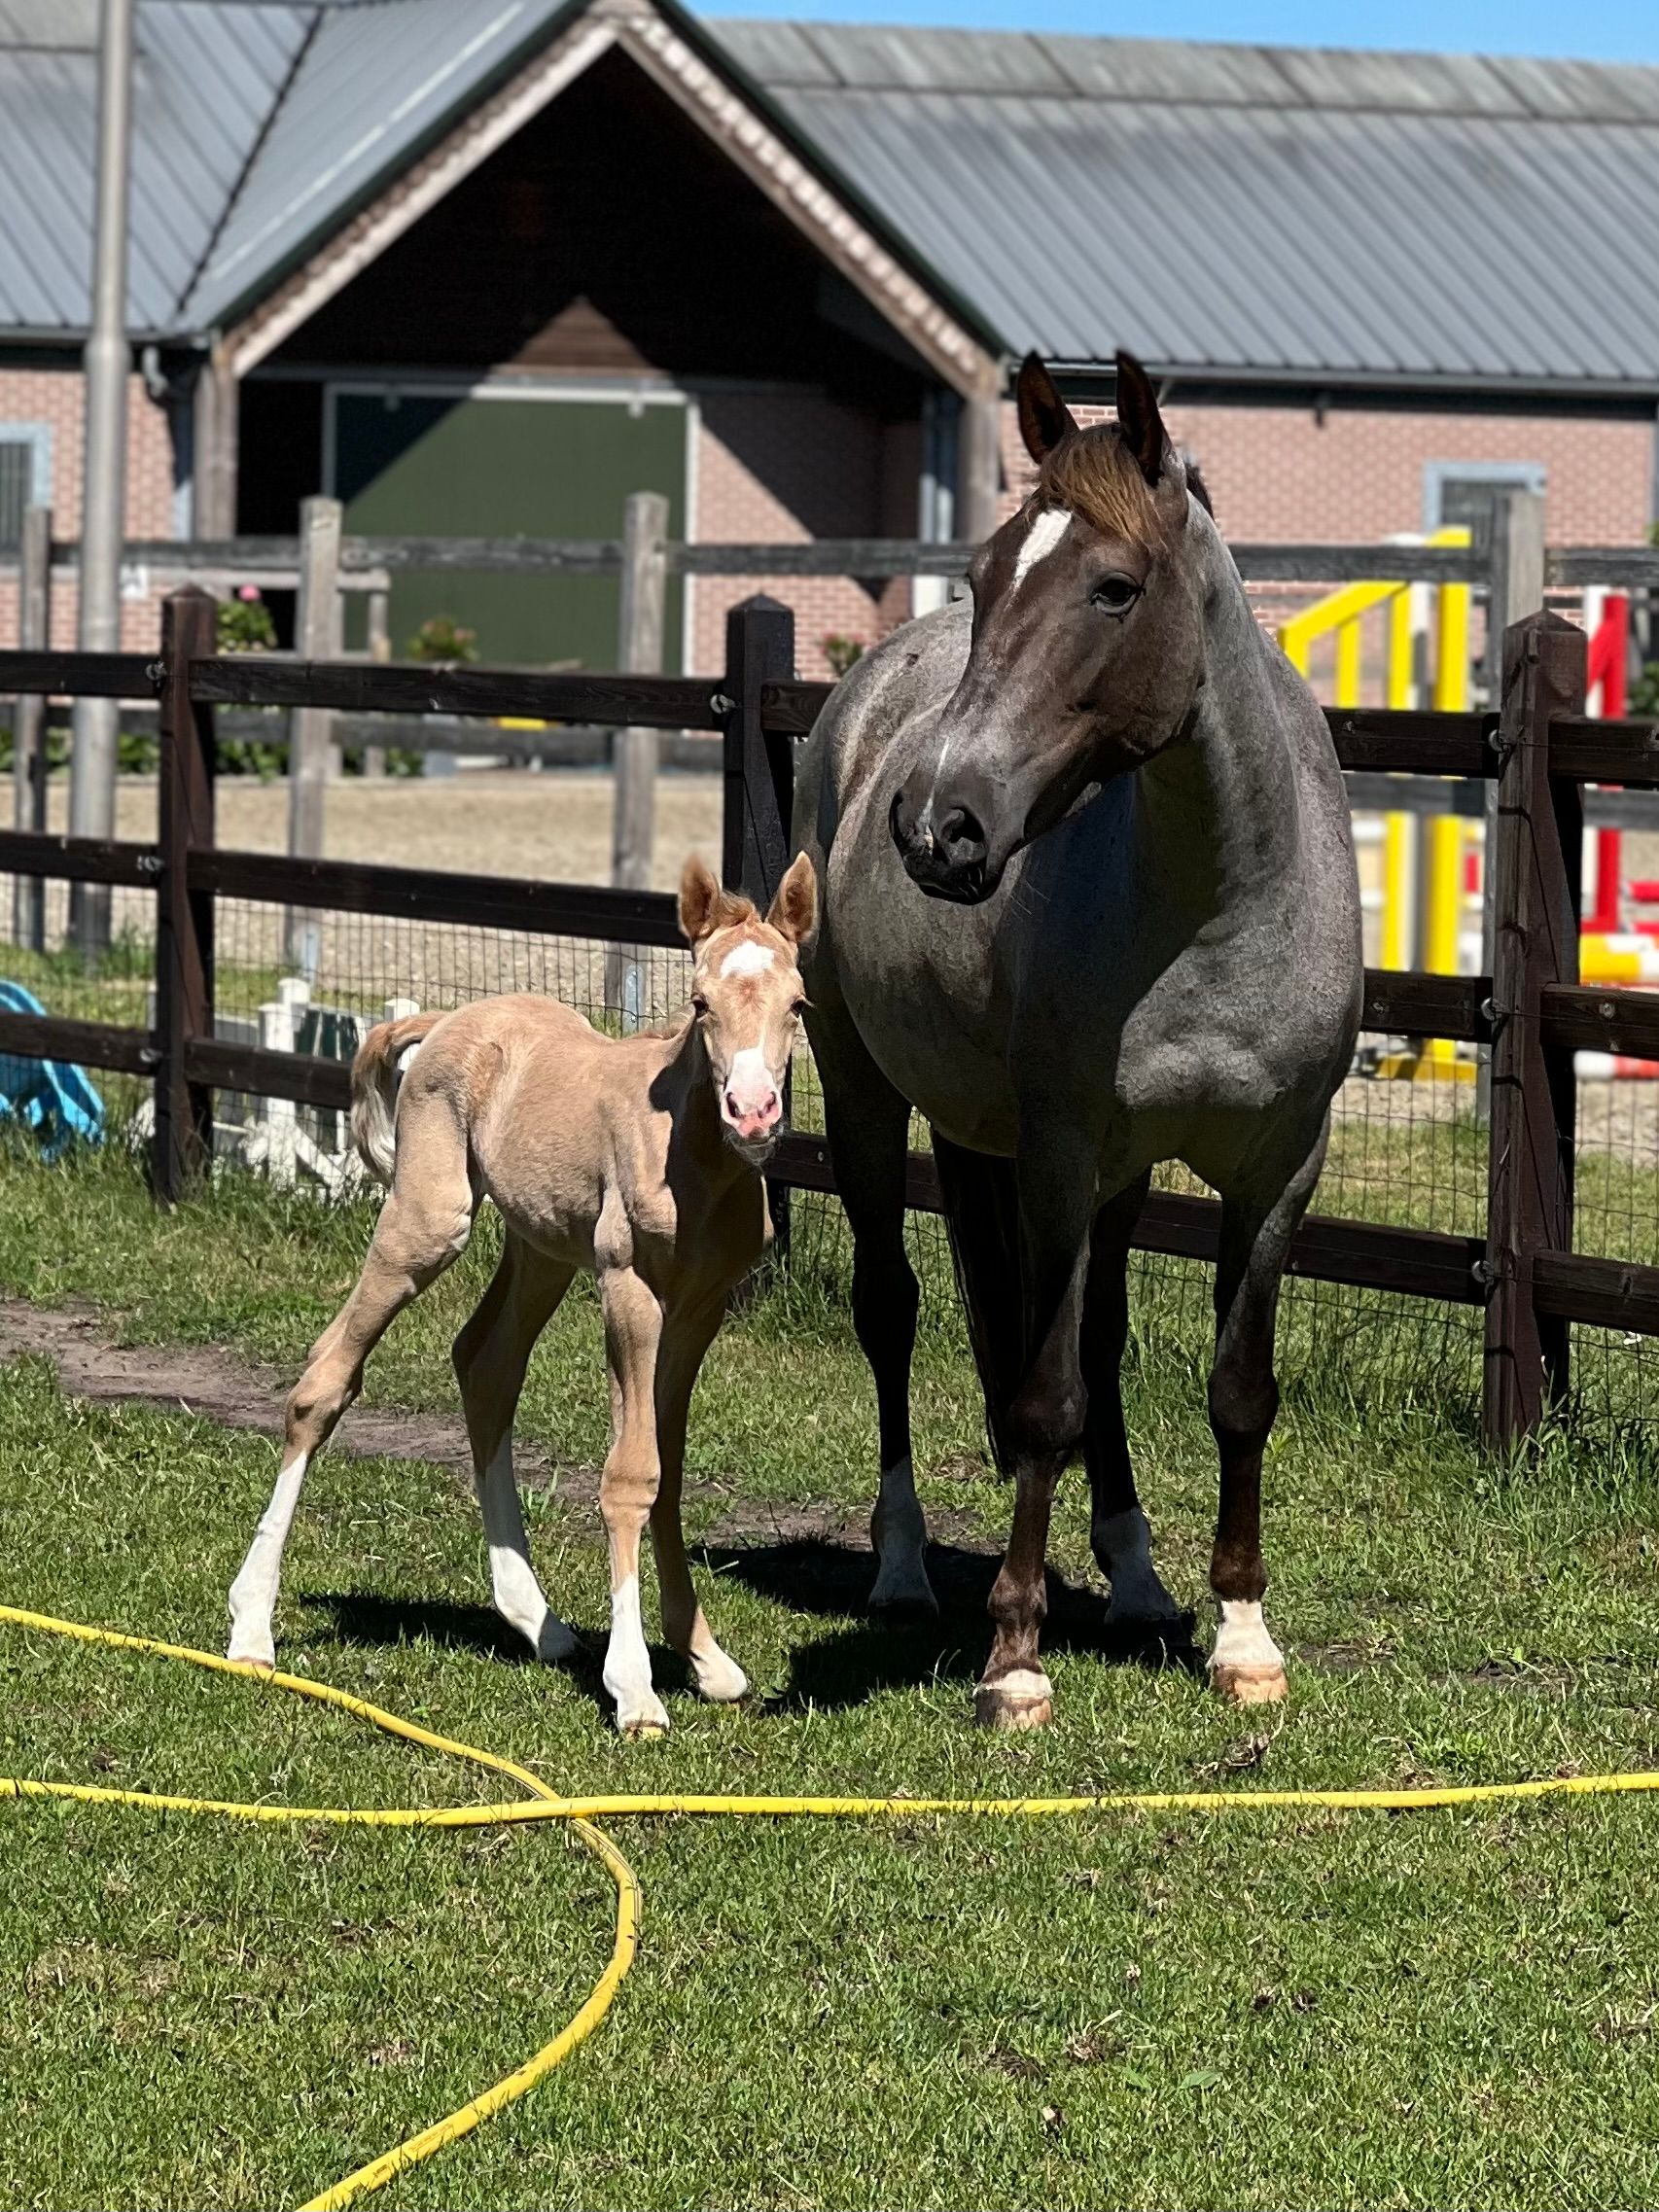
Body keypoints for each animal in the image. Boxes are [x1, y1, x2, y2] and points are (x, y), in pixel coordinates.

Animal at [226, 853, 817, 1736]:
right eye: (699, 1001)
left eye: (798, 1004)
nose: (753, 1112)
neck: (696, 1160)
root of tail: (447, 1021)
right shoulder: (630, 1291)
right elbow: (630, 1474)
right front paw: (636, 1687)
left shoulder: (700, 1308)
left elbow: (668, 1467)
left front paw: (706, 1658)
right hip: (428, 1221)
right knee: (326, 1377)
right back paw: (252, 1626)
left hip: (541, 1250)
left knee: (486, 1363)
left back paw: (535, 1618)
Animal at [794, 351, 1362, 1729]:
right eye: (988, 573)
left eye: (1114, 588)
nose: (933, 824)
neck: (1217, 903)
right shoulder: (1055, 1155)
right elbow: (1042, 1396)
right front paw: (1014, 1656)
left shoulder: (1277, 1170)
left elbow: (1232, 1391)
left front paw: (1241, 1636)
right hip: (863, 1092)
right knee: (890, 1308)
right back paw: (902, 1569)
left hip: (1101, 1169)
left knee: (1094, 1345)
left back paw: (1137, 1576)